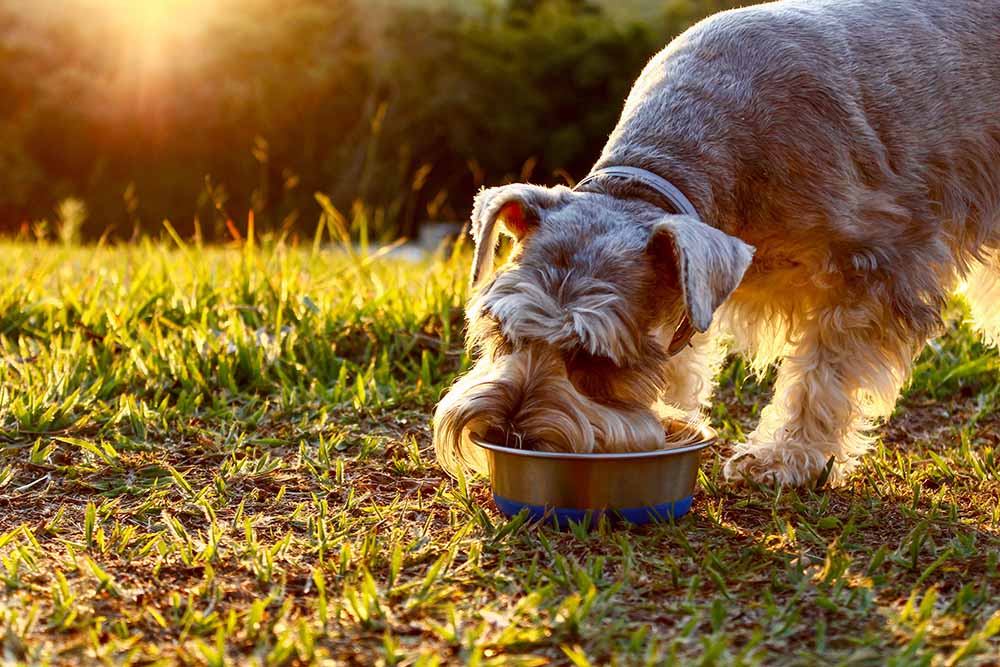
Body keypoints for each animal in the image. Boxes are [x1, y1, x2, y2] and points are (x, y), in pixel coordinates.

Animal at [434, 0, 1000, 486]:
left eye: (595, 359)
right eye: (502, 333)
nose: (508, 433)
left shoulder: (877, 262)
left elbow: (823, 373)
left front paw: (785, 456)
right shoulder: (695, 286)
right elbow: (681, 357)